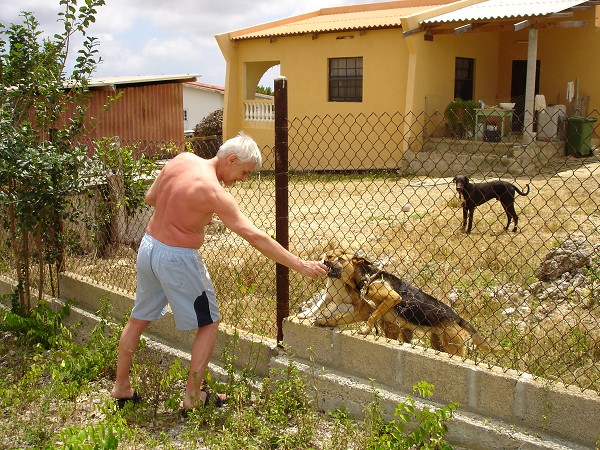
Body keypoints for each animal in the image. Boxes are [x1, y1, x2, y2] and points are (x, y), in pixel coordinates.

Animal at [310, 248, 506, 356]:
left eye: (340, 258)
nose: (324, 258)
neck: (366, 277)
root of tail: (456, 317)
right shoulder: (374, 314)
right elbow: (340, 318)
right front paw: (324, 321)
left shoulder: (392, 298)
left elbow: (372, 316)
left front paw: (365, 330)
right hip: (437, 341)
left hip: (453, 346)